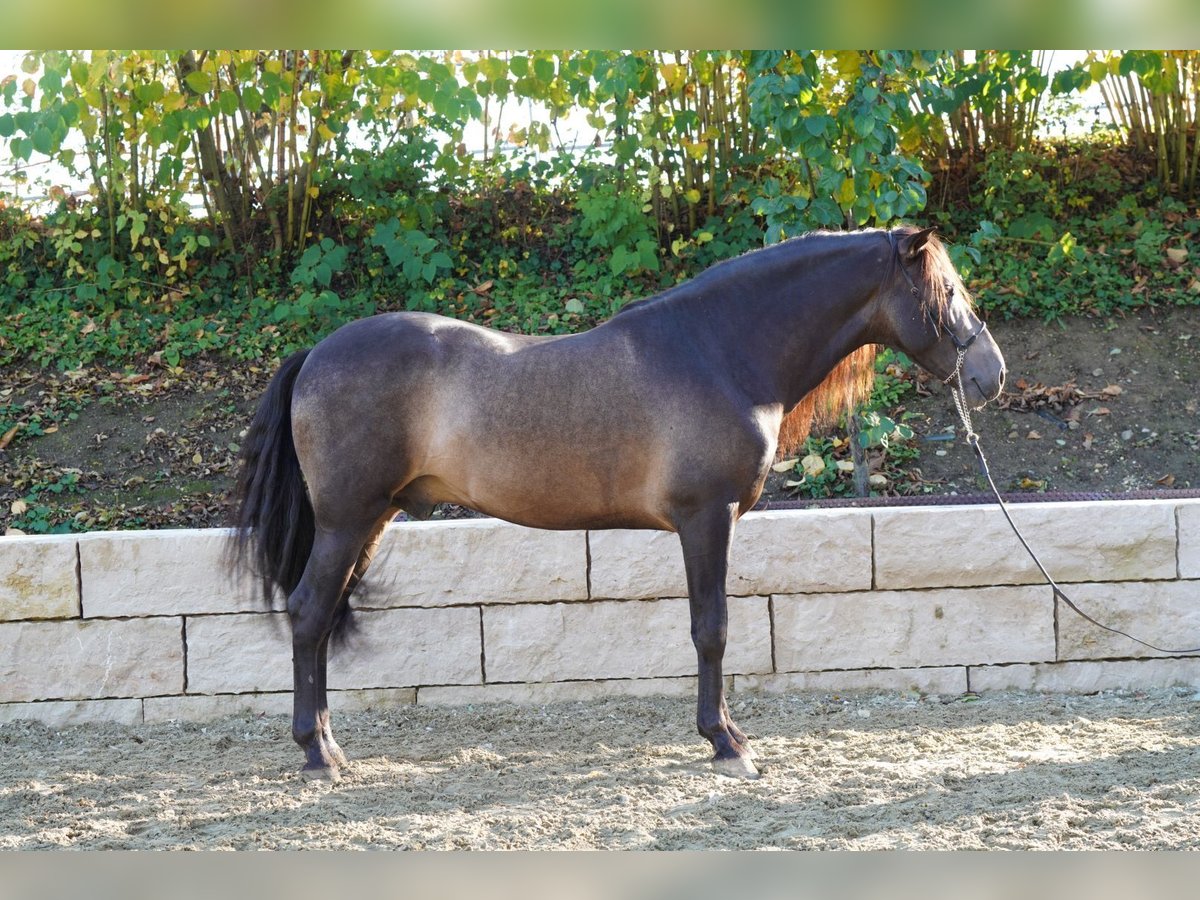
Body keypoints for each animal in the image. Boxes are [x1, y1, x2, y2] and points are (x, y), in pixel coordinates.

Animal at [231, 225, 1006, 780]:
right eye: (948, 290)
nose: (991, 374)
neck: (719, 352)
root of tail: (316, 353)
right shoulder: (705, 519)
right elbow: (712, 629)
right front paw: (726, 743)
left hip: (371, 519)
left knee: (320, 619)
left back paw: (327, 745)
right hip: (347, 520)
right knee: (309, 614)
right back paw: (316, 754)